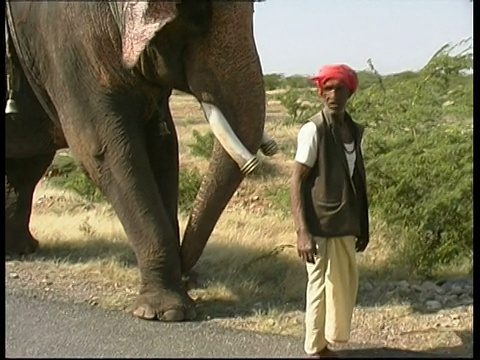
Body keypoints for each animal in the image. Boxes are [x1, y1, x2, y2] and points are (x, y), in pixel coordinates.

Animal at [4, 0, 278, 320]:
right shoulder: (66, 45)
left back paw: (20, 250)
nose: (189, 273)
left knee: (27, 166)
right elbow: (105, 150)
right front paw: (167, 313)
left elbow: (164, 147)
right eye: (196, 12)